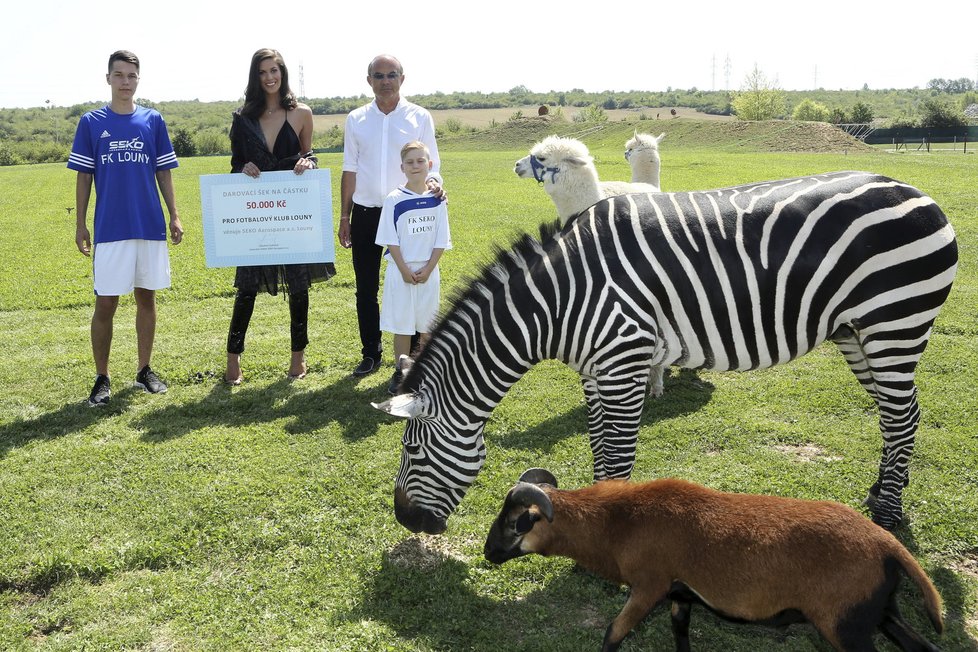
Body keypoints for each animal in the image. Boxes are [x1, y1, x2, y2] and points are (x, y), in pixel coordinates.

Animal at [376, 169, 960, 536]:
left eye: (412, 452)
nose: (404, 521)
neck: (556, 303)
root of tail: (913, 189)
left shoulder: (623, 362)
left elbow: (618, 452)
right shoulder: (595, 370)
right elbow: (598, 444)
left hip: (895, 322)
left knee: (904, 417)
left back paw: (887, 514)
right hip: (855, 331)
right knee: (895, 415)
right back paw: (880, 493)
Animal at [484, 468, 940, 652]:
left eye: (515, 522)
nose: (488, 553)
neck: (620, 523)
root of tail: (889, 546)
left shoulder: (650, 585)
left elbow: (613, 634)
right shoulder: (680, 593)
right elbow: (681, 633)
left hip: (845, 626)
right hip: (877, 612)